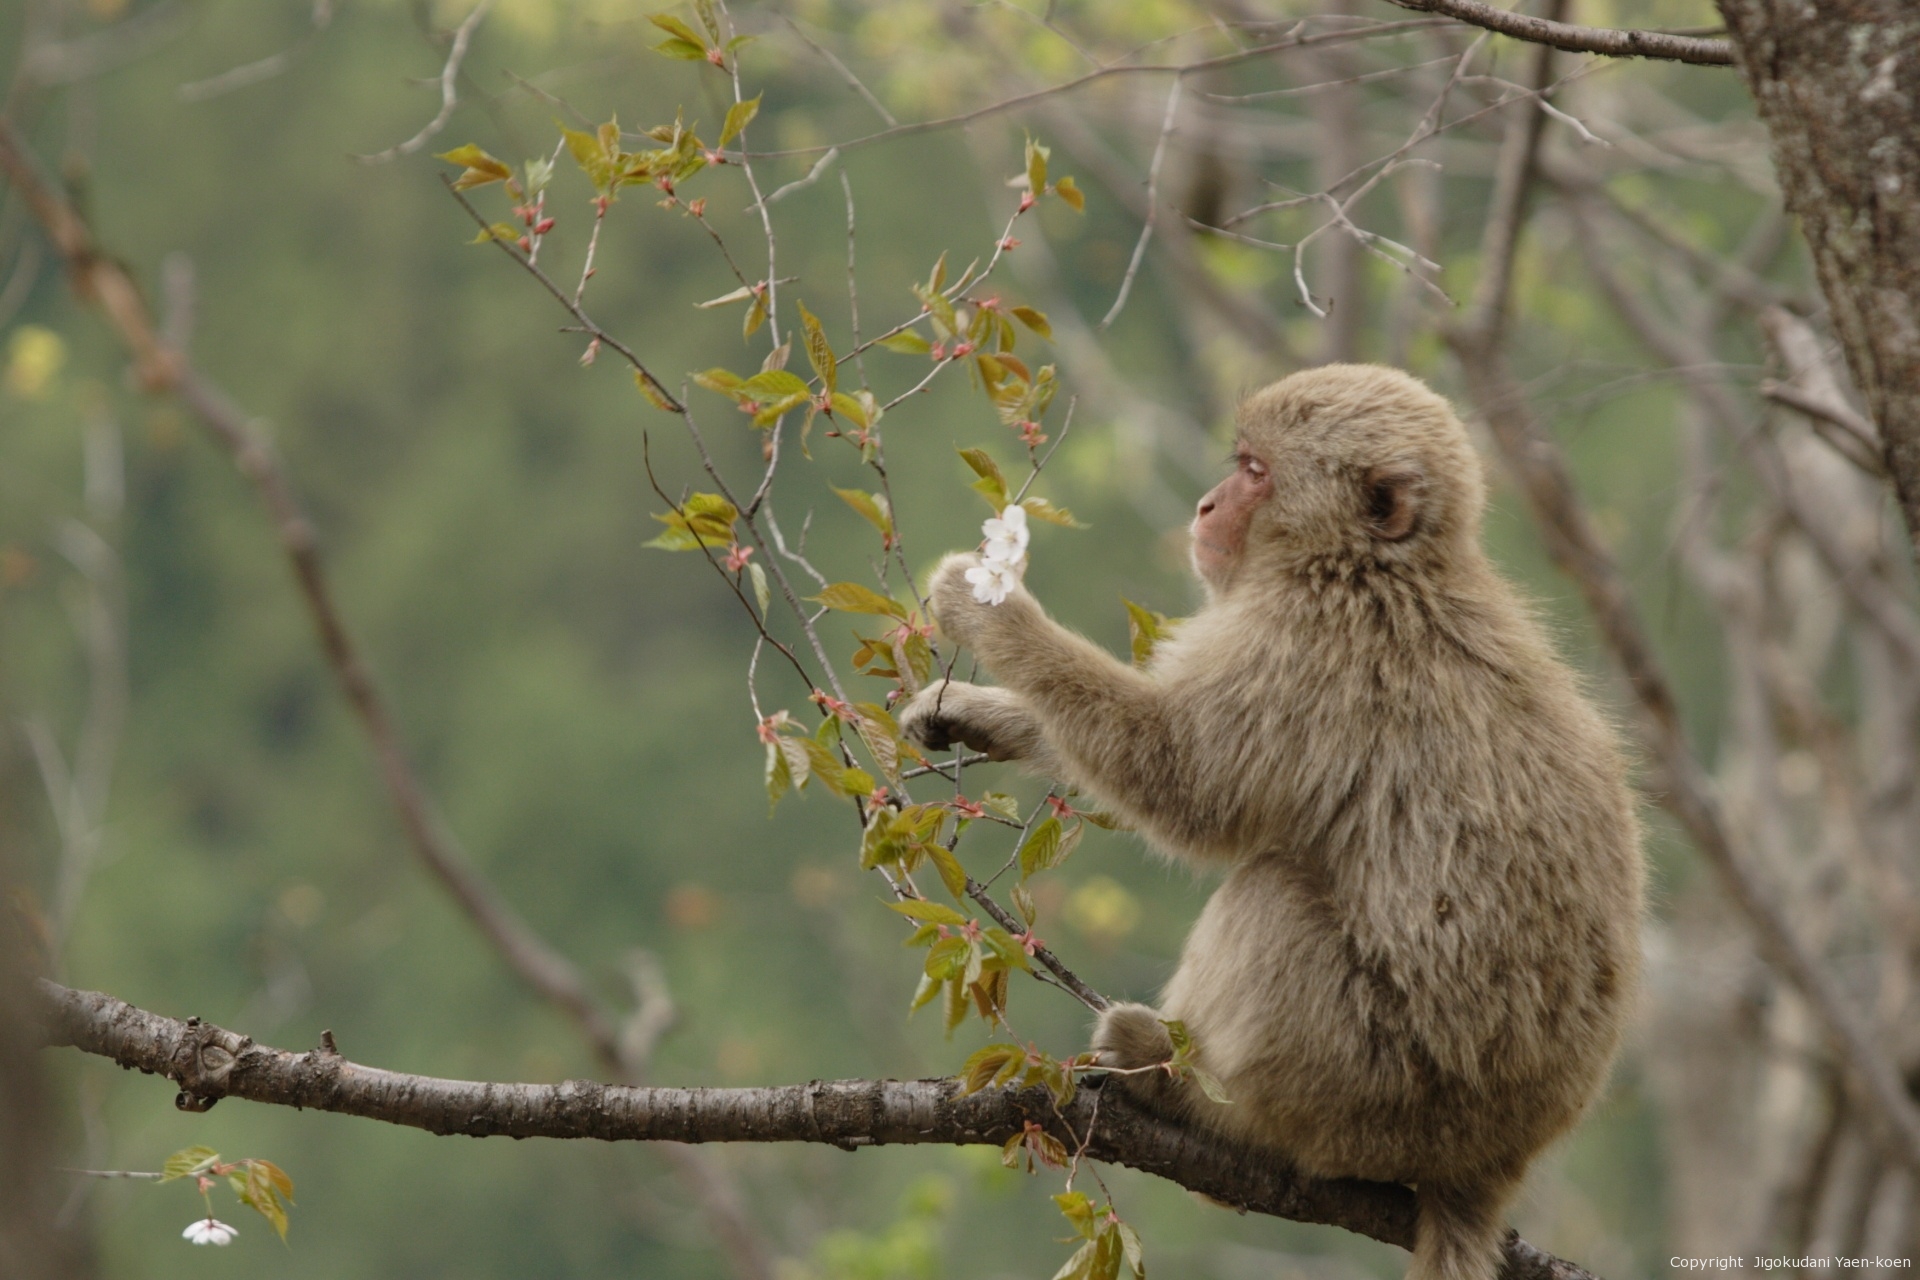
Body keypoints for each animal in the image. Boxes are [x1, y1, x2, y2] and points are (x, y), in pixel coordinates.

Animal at [899, 365, 1643, 1280]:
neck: (1377, 564)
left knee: (1275, 892)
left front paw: (992, 613)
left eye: (1255, 472)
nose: (1208, 505)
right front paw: (977, 713)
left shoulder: (1305, 643)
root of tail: (1490, 1168)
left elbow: (1180, 777)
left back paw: (1181, 1088)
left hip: (1371, 1092)